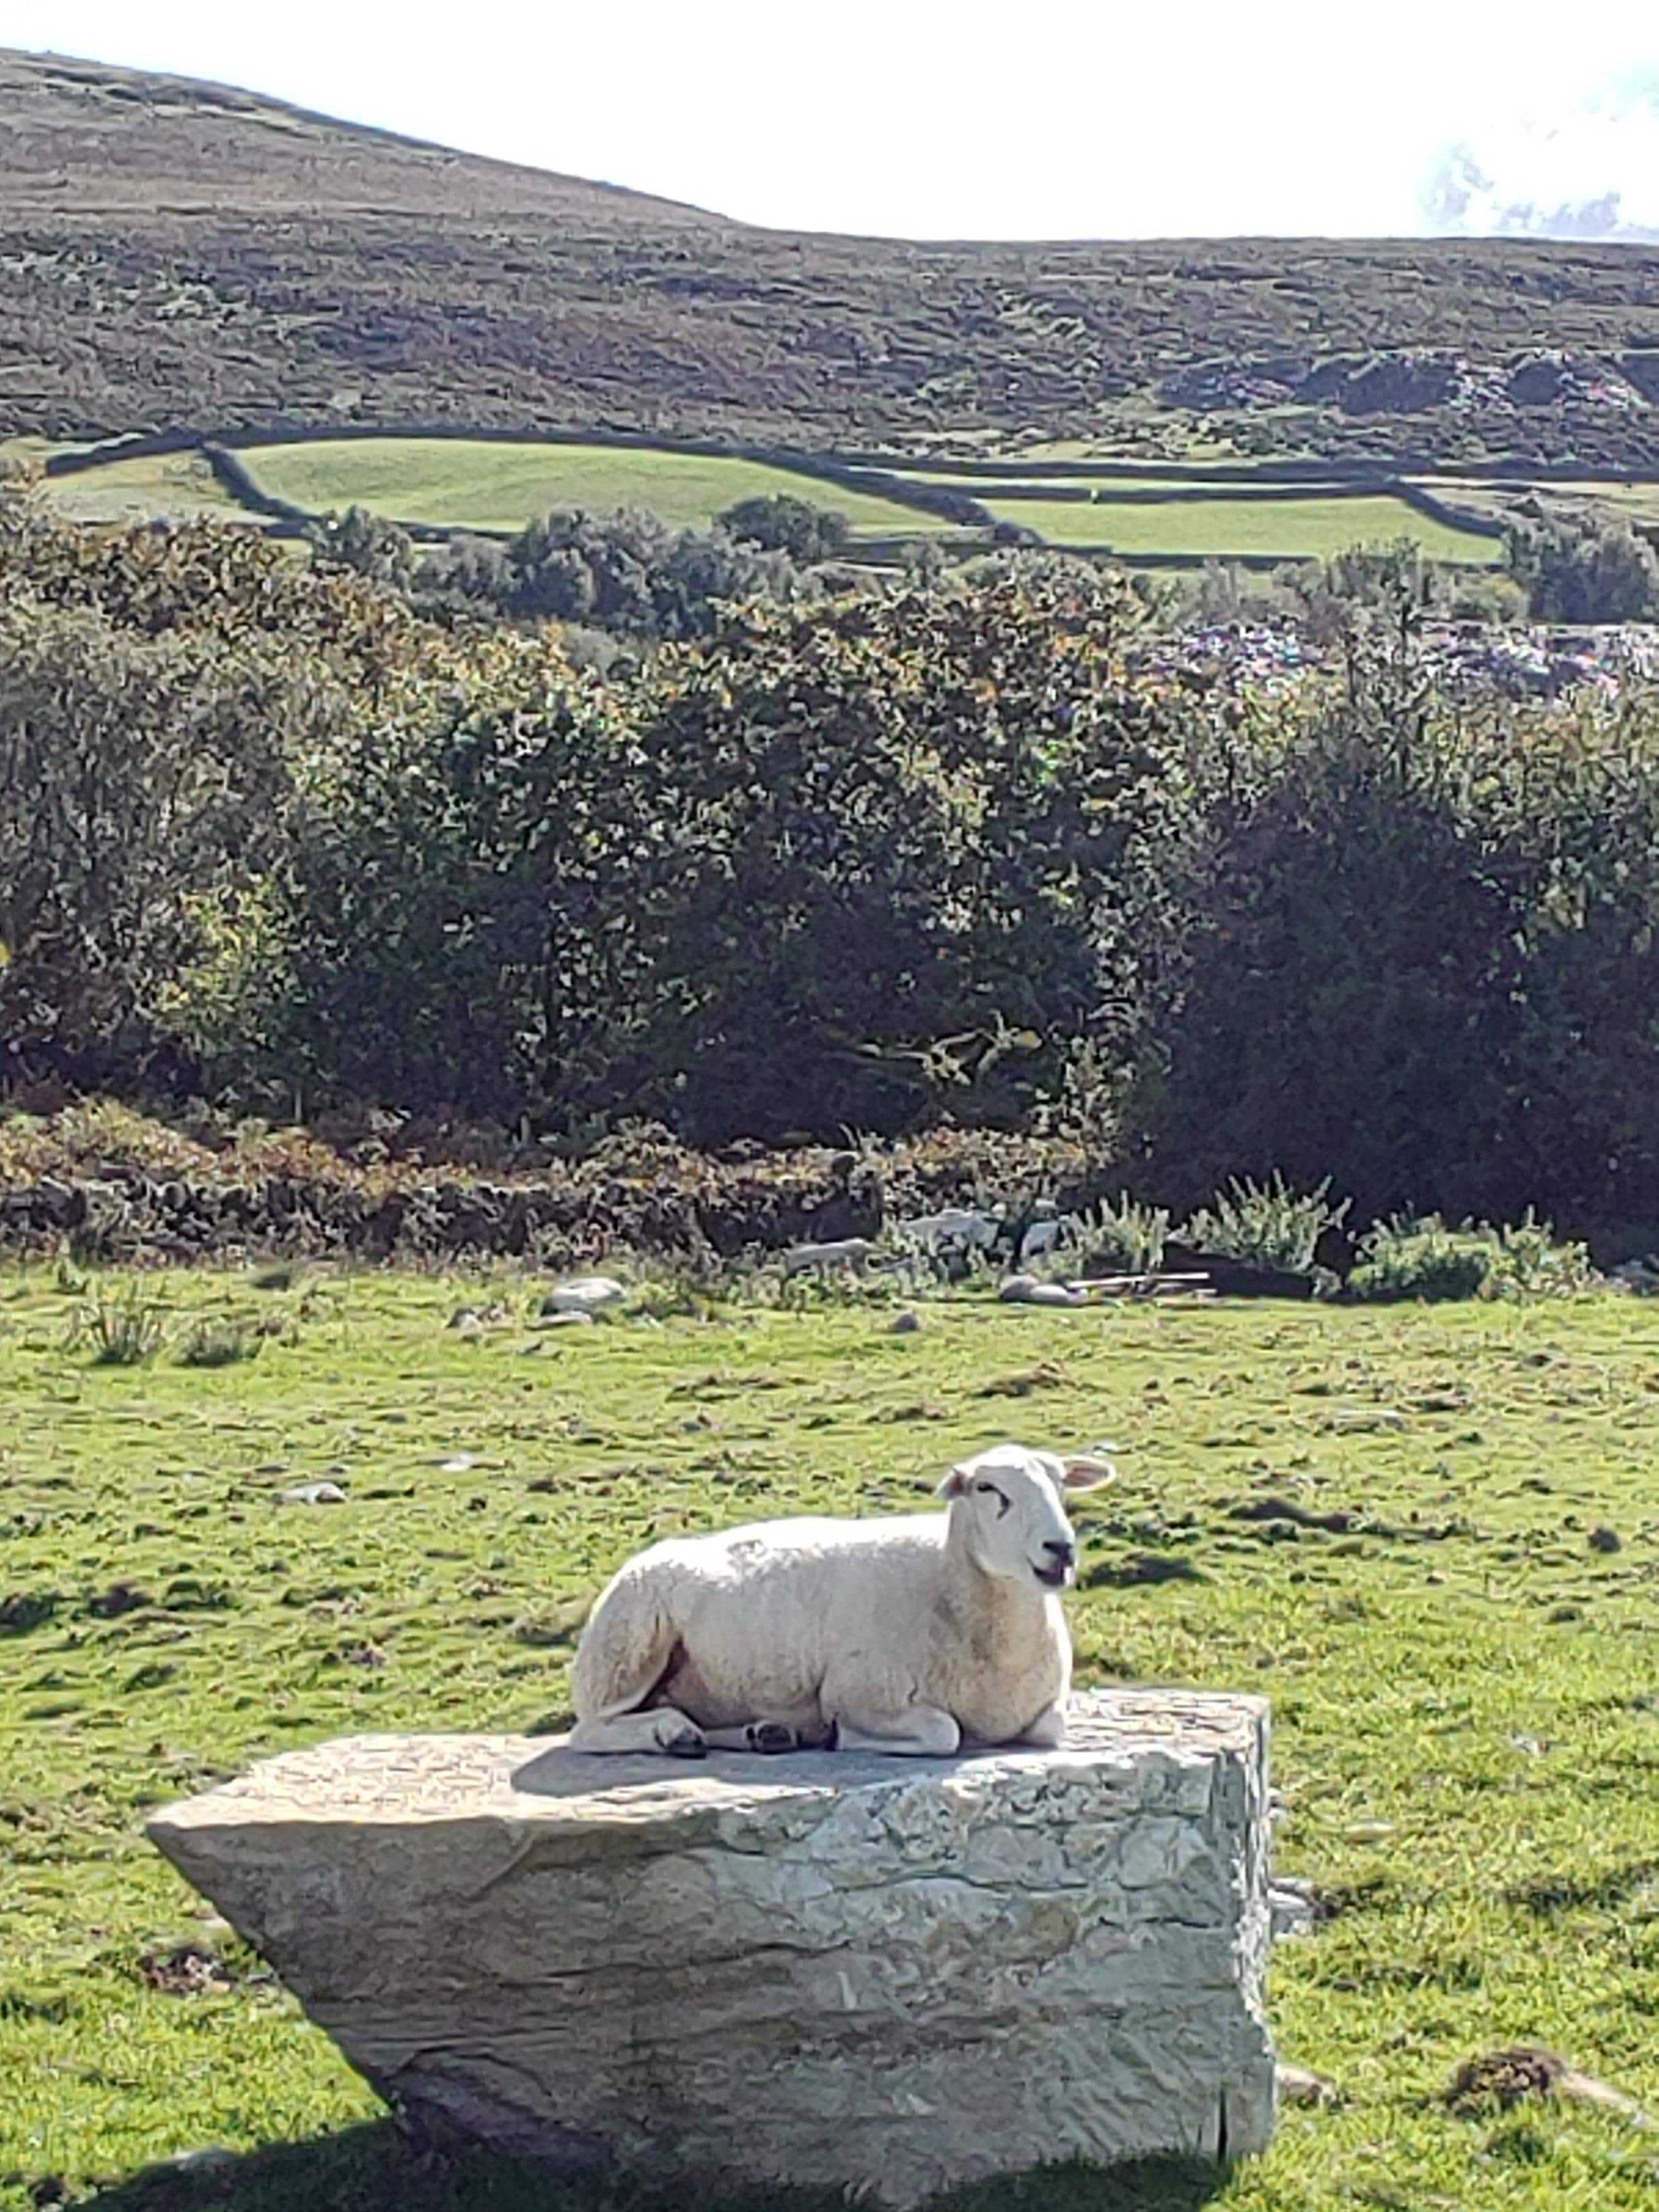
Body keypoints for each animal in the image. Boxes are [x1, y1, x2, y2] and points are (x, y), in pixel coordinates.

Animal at [567, 1442, 1114, 1759]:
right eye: (987, 1487)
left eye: (1061, 1483)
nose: (1061, 1549)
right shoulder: (855, 1692)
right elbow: (944, 1732)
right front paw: (838, 1736)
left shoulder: (1047, 1704)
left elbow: (1050, 1729)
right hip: (627, 1649)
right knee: (591, 1730)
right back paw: (674, 1734)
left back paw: (764, 1734)